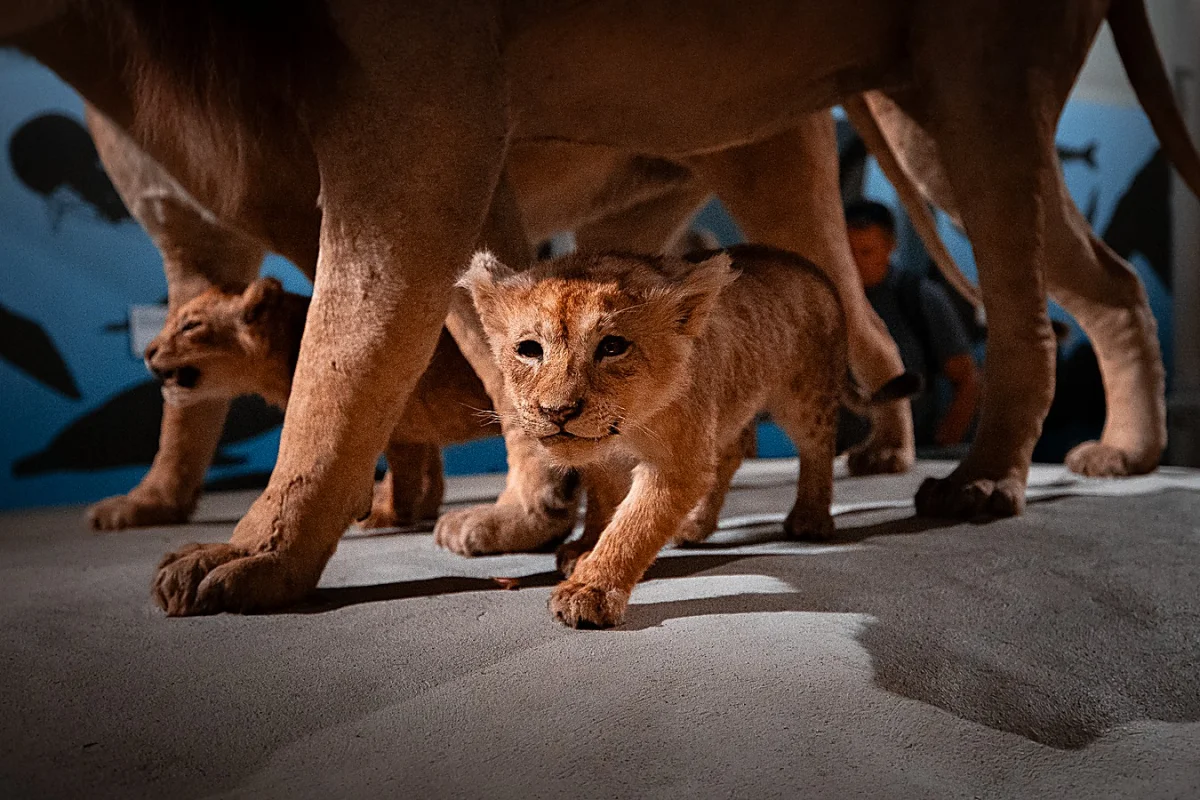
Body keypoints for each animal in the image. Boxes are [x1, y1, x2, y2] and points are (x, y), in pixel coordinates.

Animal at [144, 277, 499, 528]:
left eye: (191, 325)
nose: (147, 352)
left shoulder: (400, 428)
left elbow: (405, 476)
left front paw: (387, 515)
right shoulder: (414, 431)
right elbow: (427, 468)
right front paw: (420, 510)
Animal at [460, 245, 918, 628]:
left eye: (612, 346)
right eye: (529, 349)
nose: (557, 412)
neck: (628, 427)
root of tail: (812, 268)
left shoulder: (676, 463)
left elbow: (634, 525)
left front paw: (590, 589)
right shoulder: (607, 457)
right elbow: (605, 500)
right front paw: (585, 547)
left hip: (805, 393)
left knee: (817, 446)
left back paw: (809, 519)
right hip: (729, 400)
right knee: (732, 451)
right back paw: (695, 522)